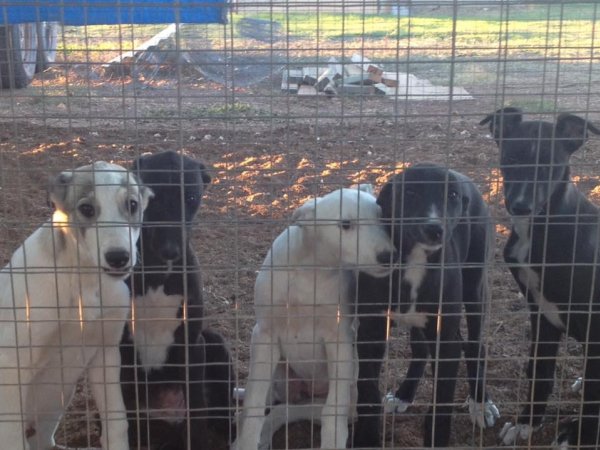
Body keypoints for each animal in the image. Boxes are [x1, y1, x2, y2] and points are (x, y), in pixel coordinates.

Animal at [0, 163, 152, 450]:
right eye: (87, 209)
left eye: (132, 204)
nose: (118, 258)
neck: (84, 280)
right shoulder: (12, 365)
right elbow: (12, 438)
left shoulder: (106, 353)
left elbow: (117, 424)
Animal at [119, 152, 234, 450]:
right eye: (151, 198)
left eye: (191, 197)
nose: (171, 251)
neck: (159, 274)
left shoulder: (192, 346)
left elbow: (197, 414)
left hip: (214, 343)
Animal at [234, 185, 398, 448]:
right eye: (345, 224)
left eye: (382, 218)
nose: (389, 256)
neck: (311, 271)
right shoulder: (264, 334)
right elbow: (254, 403)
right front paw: (246, 441)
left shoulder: (340, 340)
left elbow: (332, 412)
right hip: (278, 372)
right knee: (272, 400)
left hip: (345, 392)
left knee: (289, 410)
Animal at [354, 163, 500, 448]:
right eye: (410, 192)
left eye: (452, 196)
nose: (435, 229)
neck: (415, 260)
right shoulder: (370, 334)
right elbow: (368, 393)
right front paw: (366, 438)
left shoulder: (445, 344)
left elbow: (442, 403)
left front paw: (436, 437)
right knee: (422, 349)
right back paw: (404, 394)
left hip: (475, 290)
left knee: (475, 345)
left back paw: (480, 401)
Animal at [480, 108, 600, 446]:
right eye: (510, 158)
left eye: (548, 165)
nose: (520, 205)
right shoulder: (540, 313)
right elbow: (541, 371)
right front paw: (526, 423)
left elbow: (593, 396)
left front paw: (580, 436)